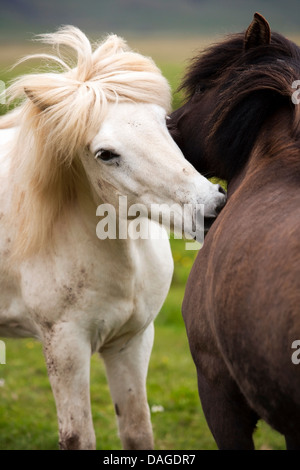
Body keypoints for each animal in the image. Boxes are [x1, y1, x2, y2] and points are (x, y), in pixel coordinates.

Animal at [0, 26, 225, 452]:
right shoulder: (65, 348)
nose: (211, 208)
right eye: (105, 154)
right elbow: (78, 437)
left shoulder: (131, 342)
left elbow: (138, 430)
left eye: (164, 121)